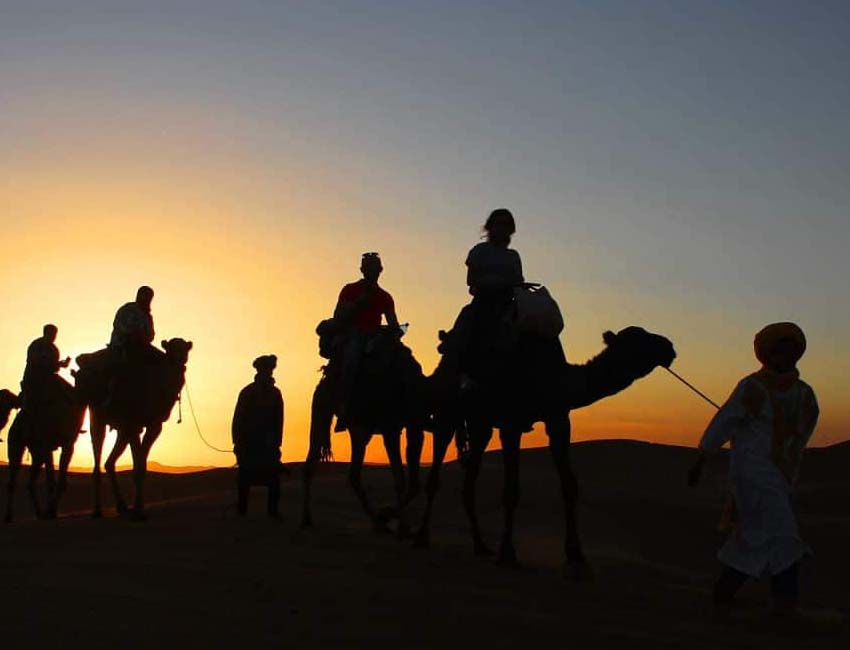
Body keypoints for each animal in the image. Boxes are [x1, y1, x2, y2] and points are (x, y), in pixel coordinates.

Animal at [3, 378, 85, 520]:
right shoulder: (46, 443)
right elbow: (50, 480)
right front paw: (50, 511)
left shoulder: (68, 444)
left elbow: (60, 481)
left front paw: (52, 511)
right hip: (16, 444)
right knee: (13, 478)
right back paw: (9, 515)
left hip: (36, 453)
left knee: (30, 483)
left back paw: (39, 513)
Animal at [75, 340, 192, 516]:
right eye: (170, 350)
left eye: (185, 351)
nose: (179, 362)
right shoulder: (133, 423)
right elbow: (137, 466)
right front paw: (138, 508)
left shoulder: (154, 425)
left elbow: (141, 465)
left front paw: (139, 506)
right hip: (96, 414)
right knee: (98, 451)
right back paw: (97, 510)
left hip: (120, 428)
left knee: (109, 463)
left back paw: (121, 505)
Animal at [410, 326, 676, 576]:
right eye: (637, 339)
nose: (669, 347)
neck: (552, 378)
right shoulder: (511, 423)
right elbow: (511, 491)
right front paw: (508, 553)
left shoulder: (558, 418)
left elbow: (569, 486)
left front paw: (576, 556)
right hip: (449, 411)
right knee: (437, 467)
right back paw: (422, 537)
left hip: (480, 422)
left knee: (469, 482)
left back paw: (481, 545)